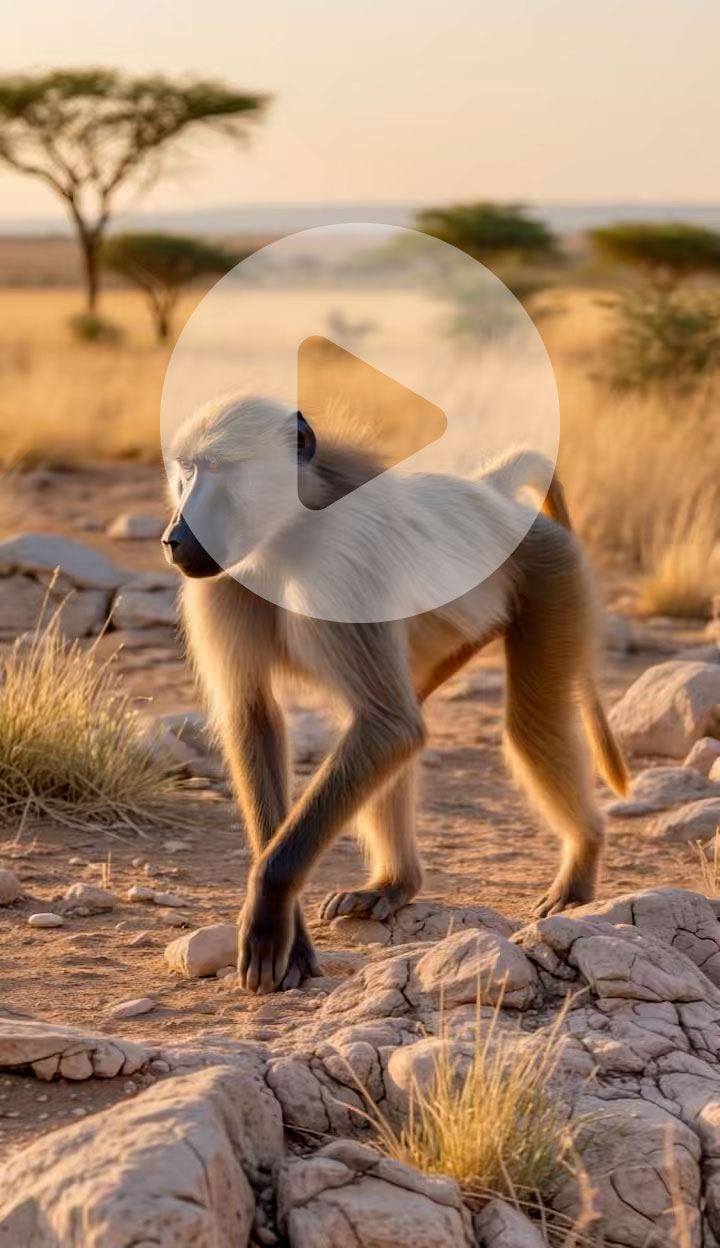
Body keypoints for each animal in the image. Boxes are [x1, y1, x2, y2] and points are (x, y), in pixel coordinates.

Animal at [162, 394, 628, 994]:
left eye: (218, 469)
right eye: (186, 471)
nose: (175, 537)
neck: (288, 533)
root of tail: (492, 497)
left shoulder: (345, 560)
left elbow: (387, 726)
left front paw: (268, 909)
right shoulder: (224, 579)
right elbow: (256, 715)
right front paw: (288, 933)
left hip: (551, 572)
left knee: (524, 724)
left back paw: (581, 862)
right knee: (394, 729)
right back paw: (395, 884)